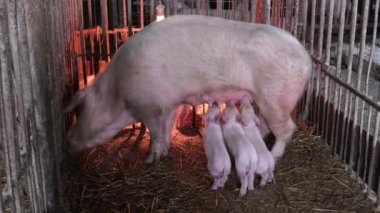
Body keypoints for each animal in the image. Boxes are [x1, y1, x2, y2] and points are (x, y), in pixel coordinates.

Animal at [64, 15, 312, 163]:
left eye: (79, 111)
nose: (68, 139)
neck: (117, 92)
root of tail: (306, 58)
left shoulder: (150, 106)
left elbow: (155, 132)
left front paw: (151, 159)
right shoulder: (168, 104)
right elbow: (166, 128)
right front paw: (166, 150)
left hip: (276, 99)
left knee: (287, 129)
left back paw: (273, 156)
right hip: (263, 101)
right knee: (266, 127)